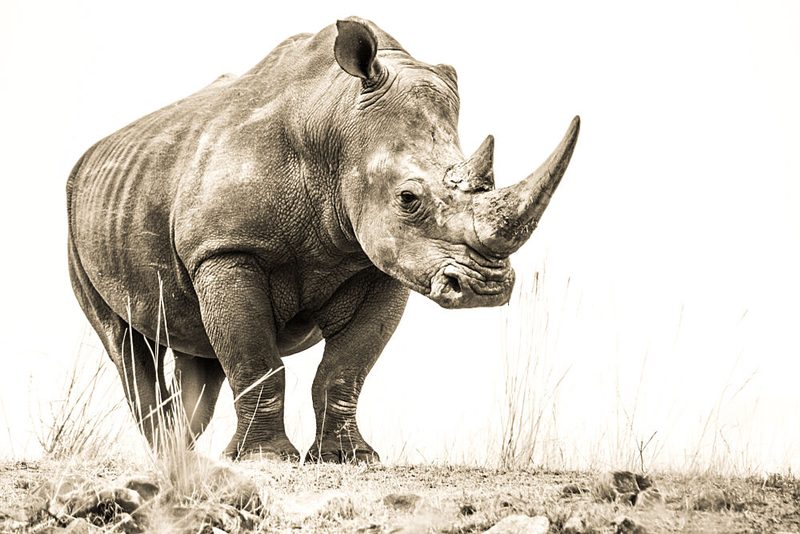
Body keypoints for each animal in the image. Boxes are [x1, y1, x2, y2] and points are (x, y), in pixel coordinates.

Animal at [67, 17, 579, 462]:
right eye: (408, 198)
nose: (484, 288)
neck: (335, 130)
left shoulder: (382, 261)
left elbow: (344, 370)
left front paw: (348, 458)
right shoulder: (226, 249)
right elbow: (257, 362)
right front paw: (266, 459)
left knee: (198, 351)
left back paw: (187, 455)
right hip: (75, 220)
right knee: (126, 343)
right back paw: (174, 458)